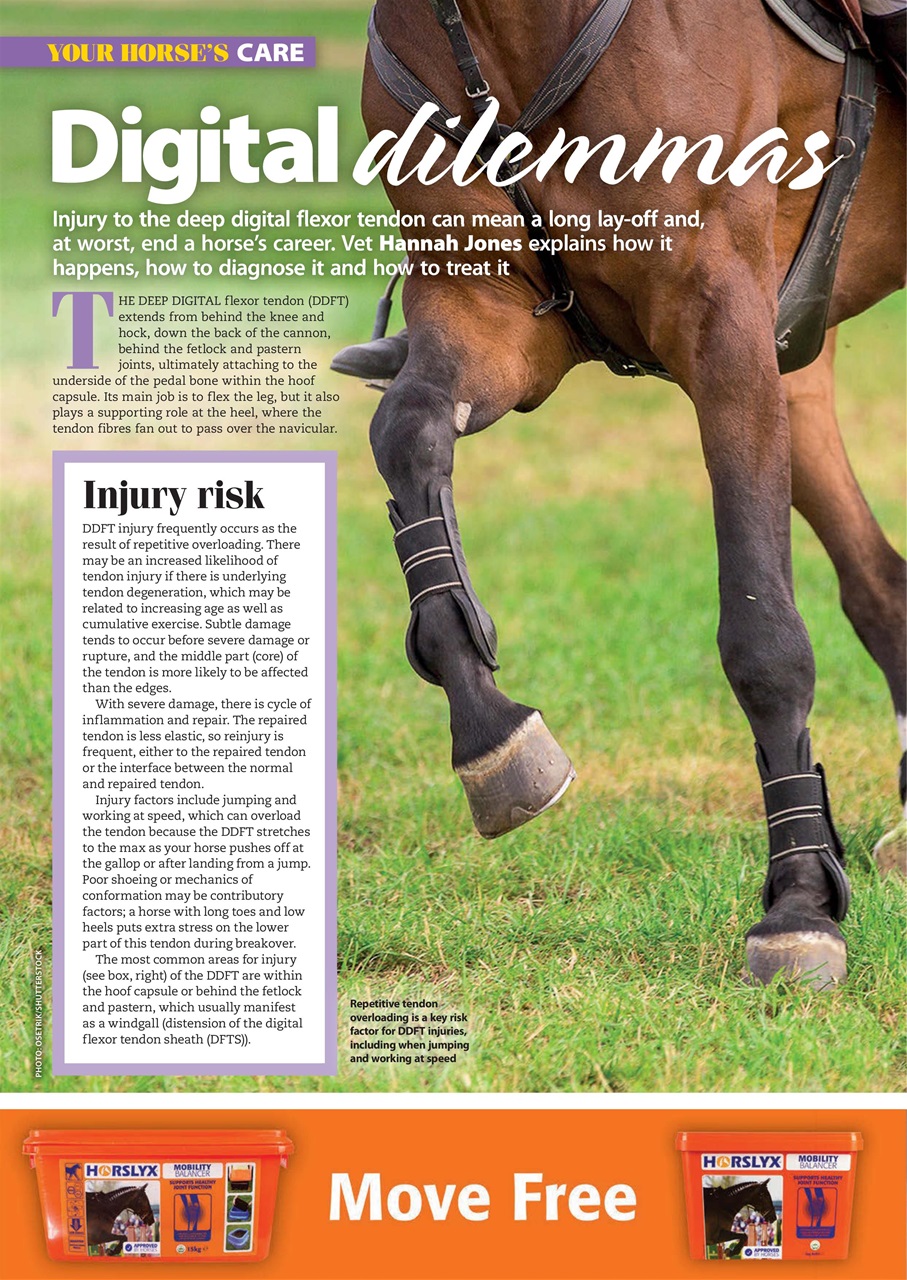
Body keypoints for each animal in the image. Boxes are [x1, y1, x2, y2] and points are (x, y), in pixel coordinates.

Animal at [352, 0, 906, 989]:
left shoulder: (722, 331)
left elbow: (763, 638)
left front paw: (800, 904)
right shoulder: (485, 314)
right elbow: (404, 433)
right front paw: (491, 734)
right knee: (879, 582)